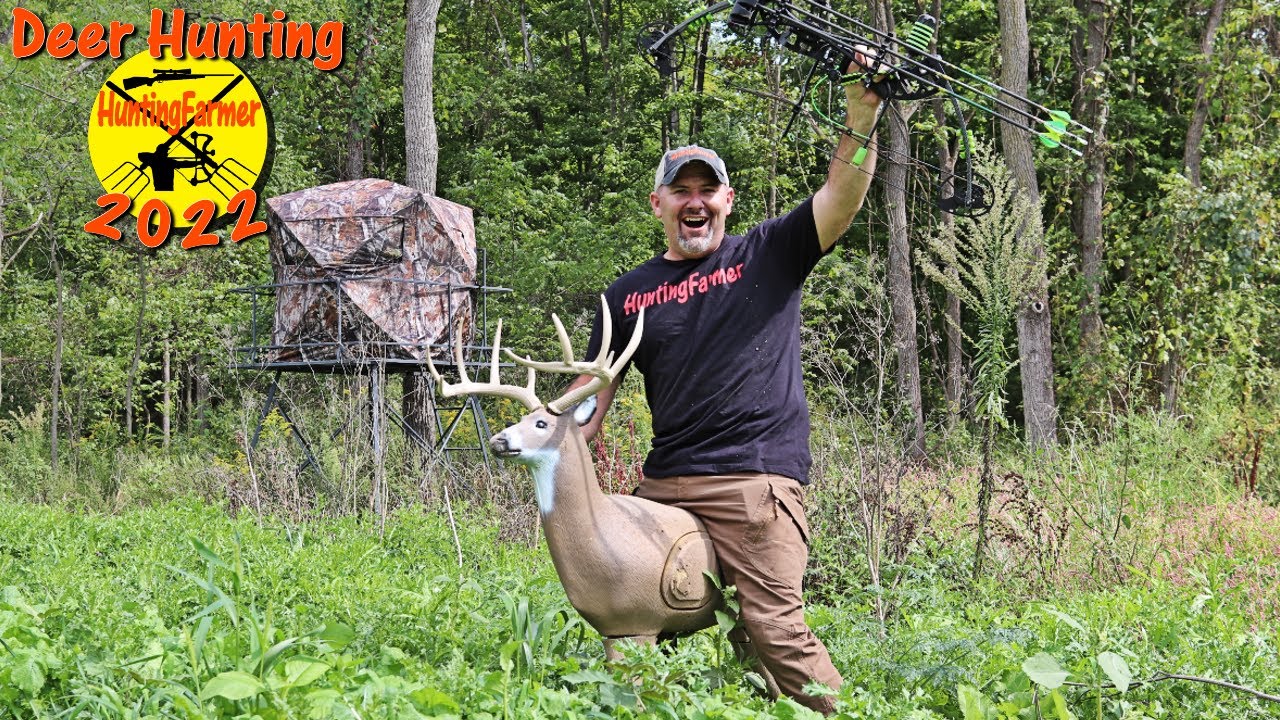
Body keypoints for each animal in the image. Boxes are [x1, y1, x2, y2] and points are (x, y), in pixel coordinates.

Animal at [427, 298, 724, 661]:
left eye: (542, 424)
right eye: (521, 418)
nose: (499, 440)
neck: (606, 532)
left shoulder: (640, 622)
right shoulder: (614, 628)